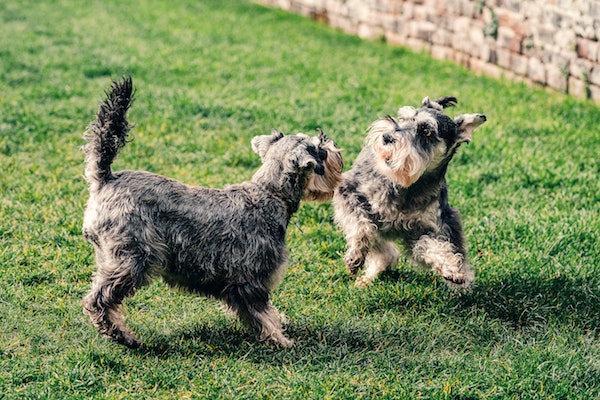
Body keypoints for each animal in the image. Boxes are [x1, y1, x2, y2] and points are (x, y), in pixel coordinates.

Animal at [81, 77, 342, 346]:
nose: (332, 143)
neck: (270, 193)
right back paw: (123, 335)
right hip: (133, 260)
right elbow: (262, 313)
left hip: (110, 258)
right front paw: (280, 340)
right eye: (318, 149)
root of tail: (106, 179)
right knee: (99, 300)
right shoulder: (252, 280)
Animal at [332, 98, 488, 290]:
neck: (407, 186)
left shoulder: (424, 229)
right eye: (403, 118)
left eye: (426, 131)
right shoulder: (348, 191)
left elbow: (433, 246)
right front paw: (355, 256)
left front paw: (451, 268)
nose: (387, 137)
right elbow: (362, 226)